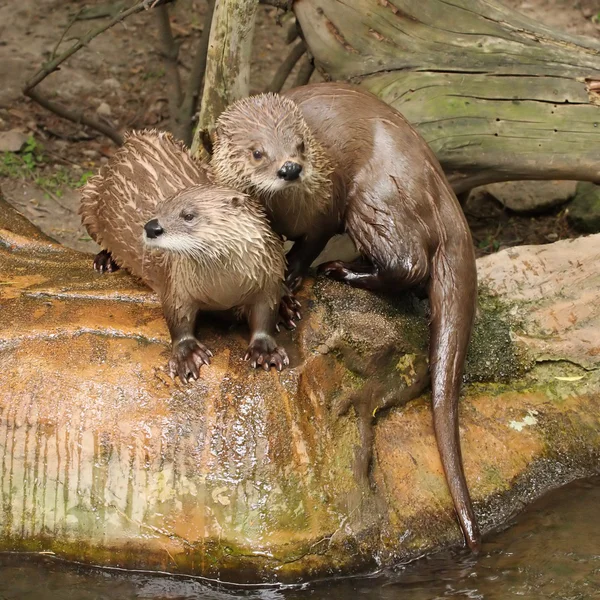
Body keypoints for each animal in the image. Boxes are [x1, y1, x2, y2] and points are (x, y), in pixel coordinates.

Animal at [78, 131, 290, 380]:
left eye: (188, 215)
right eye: (158, 209)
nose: (151, 227)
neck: (225, 288)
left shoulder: (267, 278)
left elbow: (265, 315)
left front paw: (266, 350)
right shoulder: (176, 283)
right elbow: (177, 317)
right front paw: (187, 355)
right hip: (90, 194)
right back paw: (105, 260)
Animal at [209, 82, 480, 552]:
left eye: (301, 144)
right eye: (257, 152)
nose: (290, 168)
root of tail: (444, 191)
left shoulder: (324, 208)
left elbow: (306, 247)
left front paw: (291, 287)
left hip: (378, 197)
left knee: (409, 263)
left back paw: (342, 270)